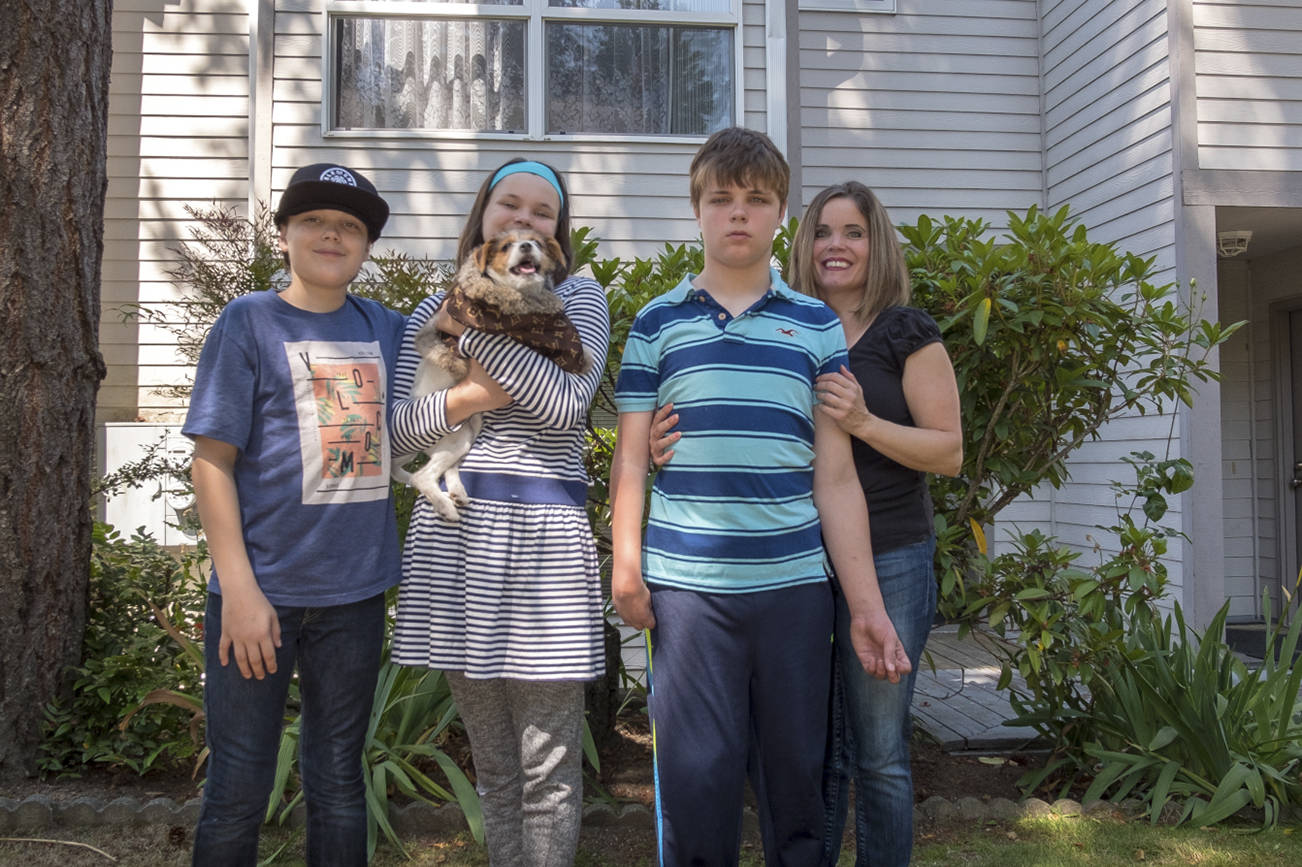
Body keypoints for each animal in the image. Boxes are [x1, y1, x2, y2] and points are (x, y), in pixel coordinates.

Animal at [393, 226, 593, 515]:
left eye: (538, 243)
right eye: (506, 246)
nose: (526, 246)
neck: (520, 293)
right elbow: (560, 342)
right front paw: (580, 355)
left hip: (467, 434)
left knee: (444, 470)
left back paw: (457, 493)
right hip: (455, 439)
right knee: (421, 476)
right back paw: (445, 506)